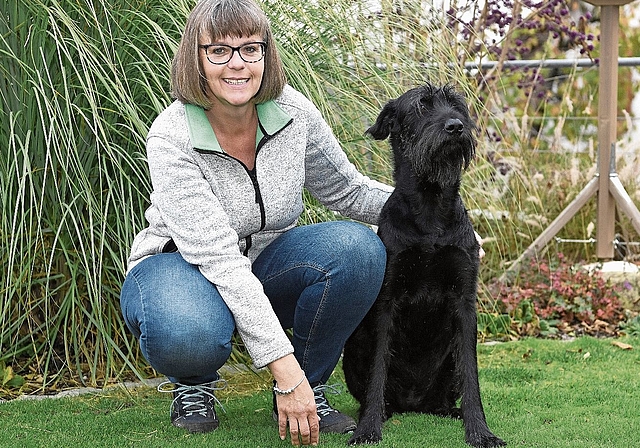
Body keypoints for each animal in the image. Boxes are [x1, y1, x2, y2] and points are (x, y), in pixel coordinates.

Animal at [342, 84, 508, 448]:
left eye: (457, 106)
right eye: (421, 107)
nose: (455, 127)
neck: (431, 205)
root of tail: (414, 403)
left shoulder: (464, 303)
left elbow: (471, 376)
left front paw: (480, 430)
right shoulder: (387, 301)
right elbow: (378, 371)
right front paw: (368, 428)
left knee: (445, 397)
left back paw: (451, 411)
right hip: (353, 345)